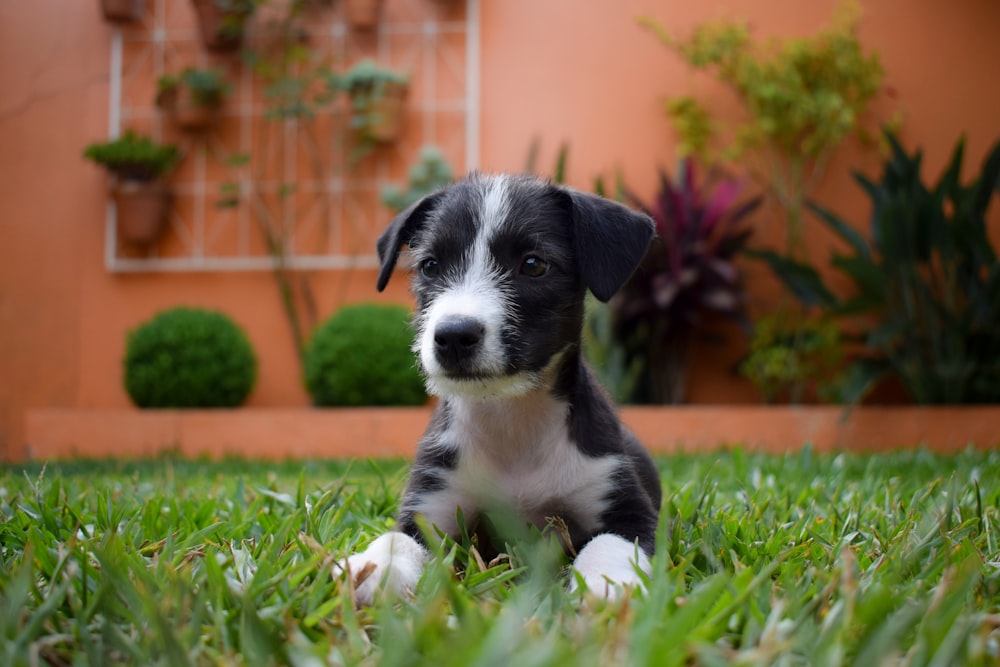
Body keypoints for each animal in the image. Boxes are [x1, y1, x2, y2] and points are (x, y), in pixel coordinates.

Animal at [344, 174, 664, 604]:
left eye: (533, 264)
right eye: (430, 265)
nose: (454, 335)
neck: (509, 418)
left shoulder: (626, 508)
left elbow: (610, 543)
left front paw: (609, 585)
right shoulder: (431, 505)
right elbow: (397, 541)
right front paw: (369, 571)